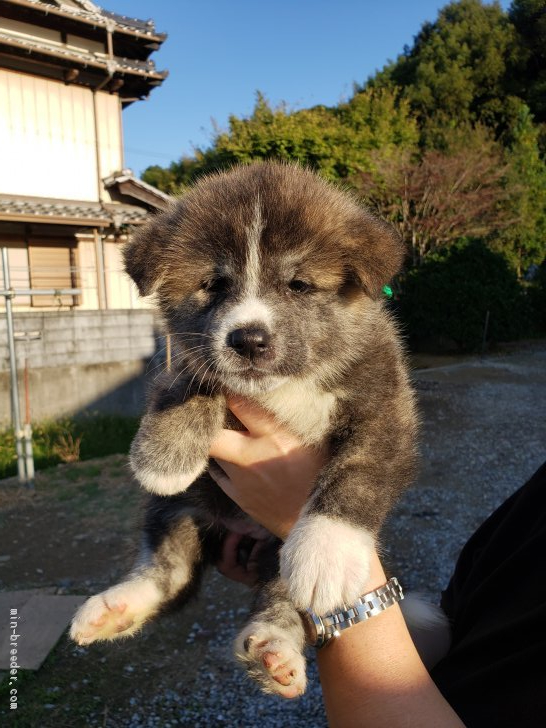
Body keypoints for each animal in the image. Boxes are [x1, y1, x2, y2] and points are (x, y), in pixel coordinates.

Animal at [69, 162, 416, 696]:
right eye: (213, 284)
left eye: (298, 284)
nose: (248, 339)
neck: (289, 385)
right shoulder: (184, 359)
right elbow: (193, 380)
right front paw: (163, 453)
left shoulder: (387, 403)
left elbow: (360, 470)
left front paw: (328, 549)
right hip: (183, 508)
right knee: (172, 572)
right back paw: (117, 607)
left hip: (277, 549)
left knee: (281, 593)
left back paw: (275, 649)